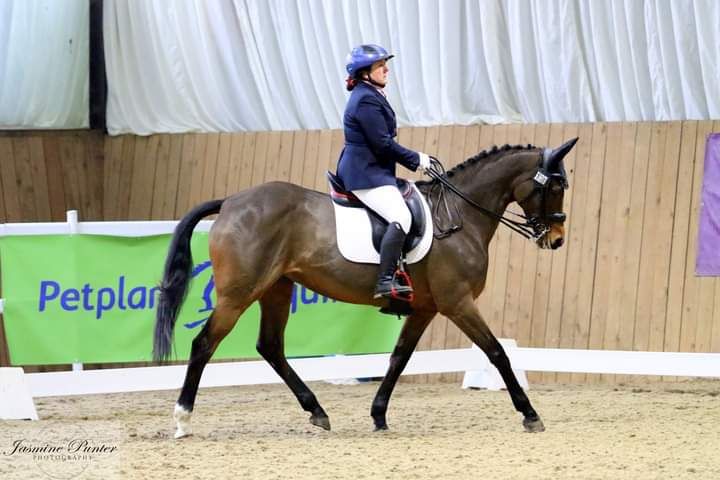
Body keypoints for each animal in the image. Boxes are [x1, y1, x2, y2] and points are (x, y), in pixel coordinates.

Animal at [153, 138, 580, 438]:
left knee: (270, 347)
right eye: (557, 185)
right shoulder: (458, 303)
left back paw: (317, 411)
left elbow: (398, 359)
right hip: (239, 293)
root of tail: (230, 202)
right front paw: (530, 415)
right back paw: (183, 419)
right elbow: (497, 353)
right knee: (204, 344)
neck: (460, 215)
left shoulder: (425, 308)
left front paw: (378, 415)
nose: (557, 239)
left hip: (277, 288)